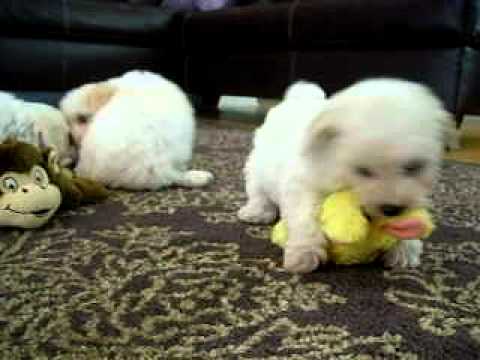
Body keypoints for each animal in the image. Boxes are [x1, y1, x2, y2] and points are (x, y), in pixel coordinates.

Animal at [240, 78, 454, 272]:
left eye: (413, 167)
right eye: (362, 170)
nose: (391, 209)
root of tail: (300, 97)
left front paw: (405, 248)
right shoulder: (302, 184)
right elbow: (306, 216)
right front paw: (304, 253)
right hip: (257, 165)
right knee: (258, 191)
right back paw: (257, 211)